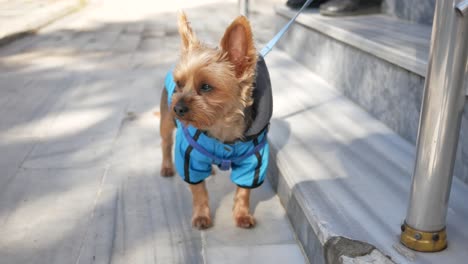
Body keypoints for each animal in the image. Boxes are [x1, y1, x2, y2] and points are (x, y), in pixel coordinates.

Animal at [160, 12, 272, 230]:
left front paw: (242, 215)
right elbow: (199, 192)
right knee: (166, 143)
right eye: (179, 84)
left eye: (206, 87)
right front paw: (202, 217)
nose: (177, 108)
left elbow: (244, 191)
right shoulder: (189, 158)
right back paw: (167, 167)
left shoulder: (254, 161)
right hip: (166, 122)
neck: (221, 127)